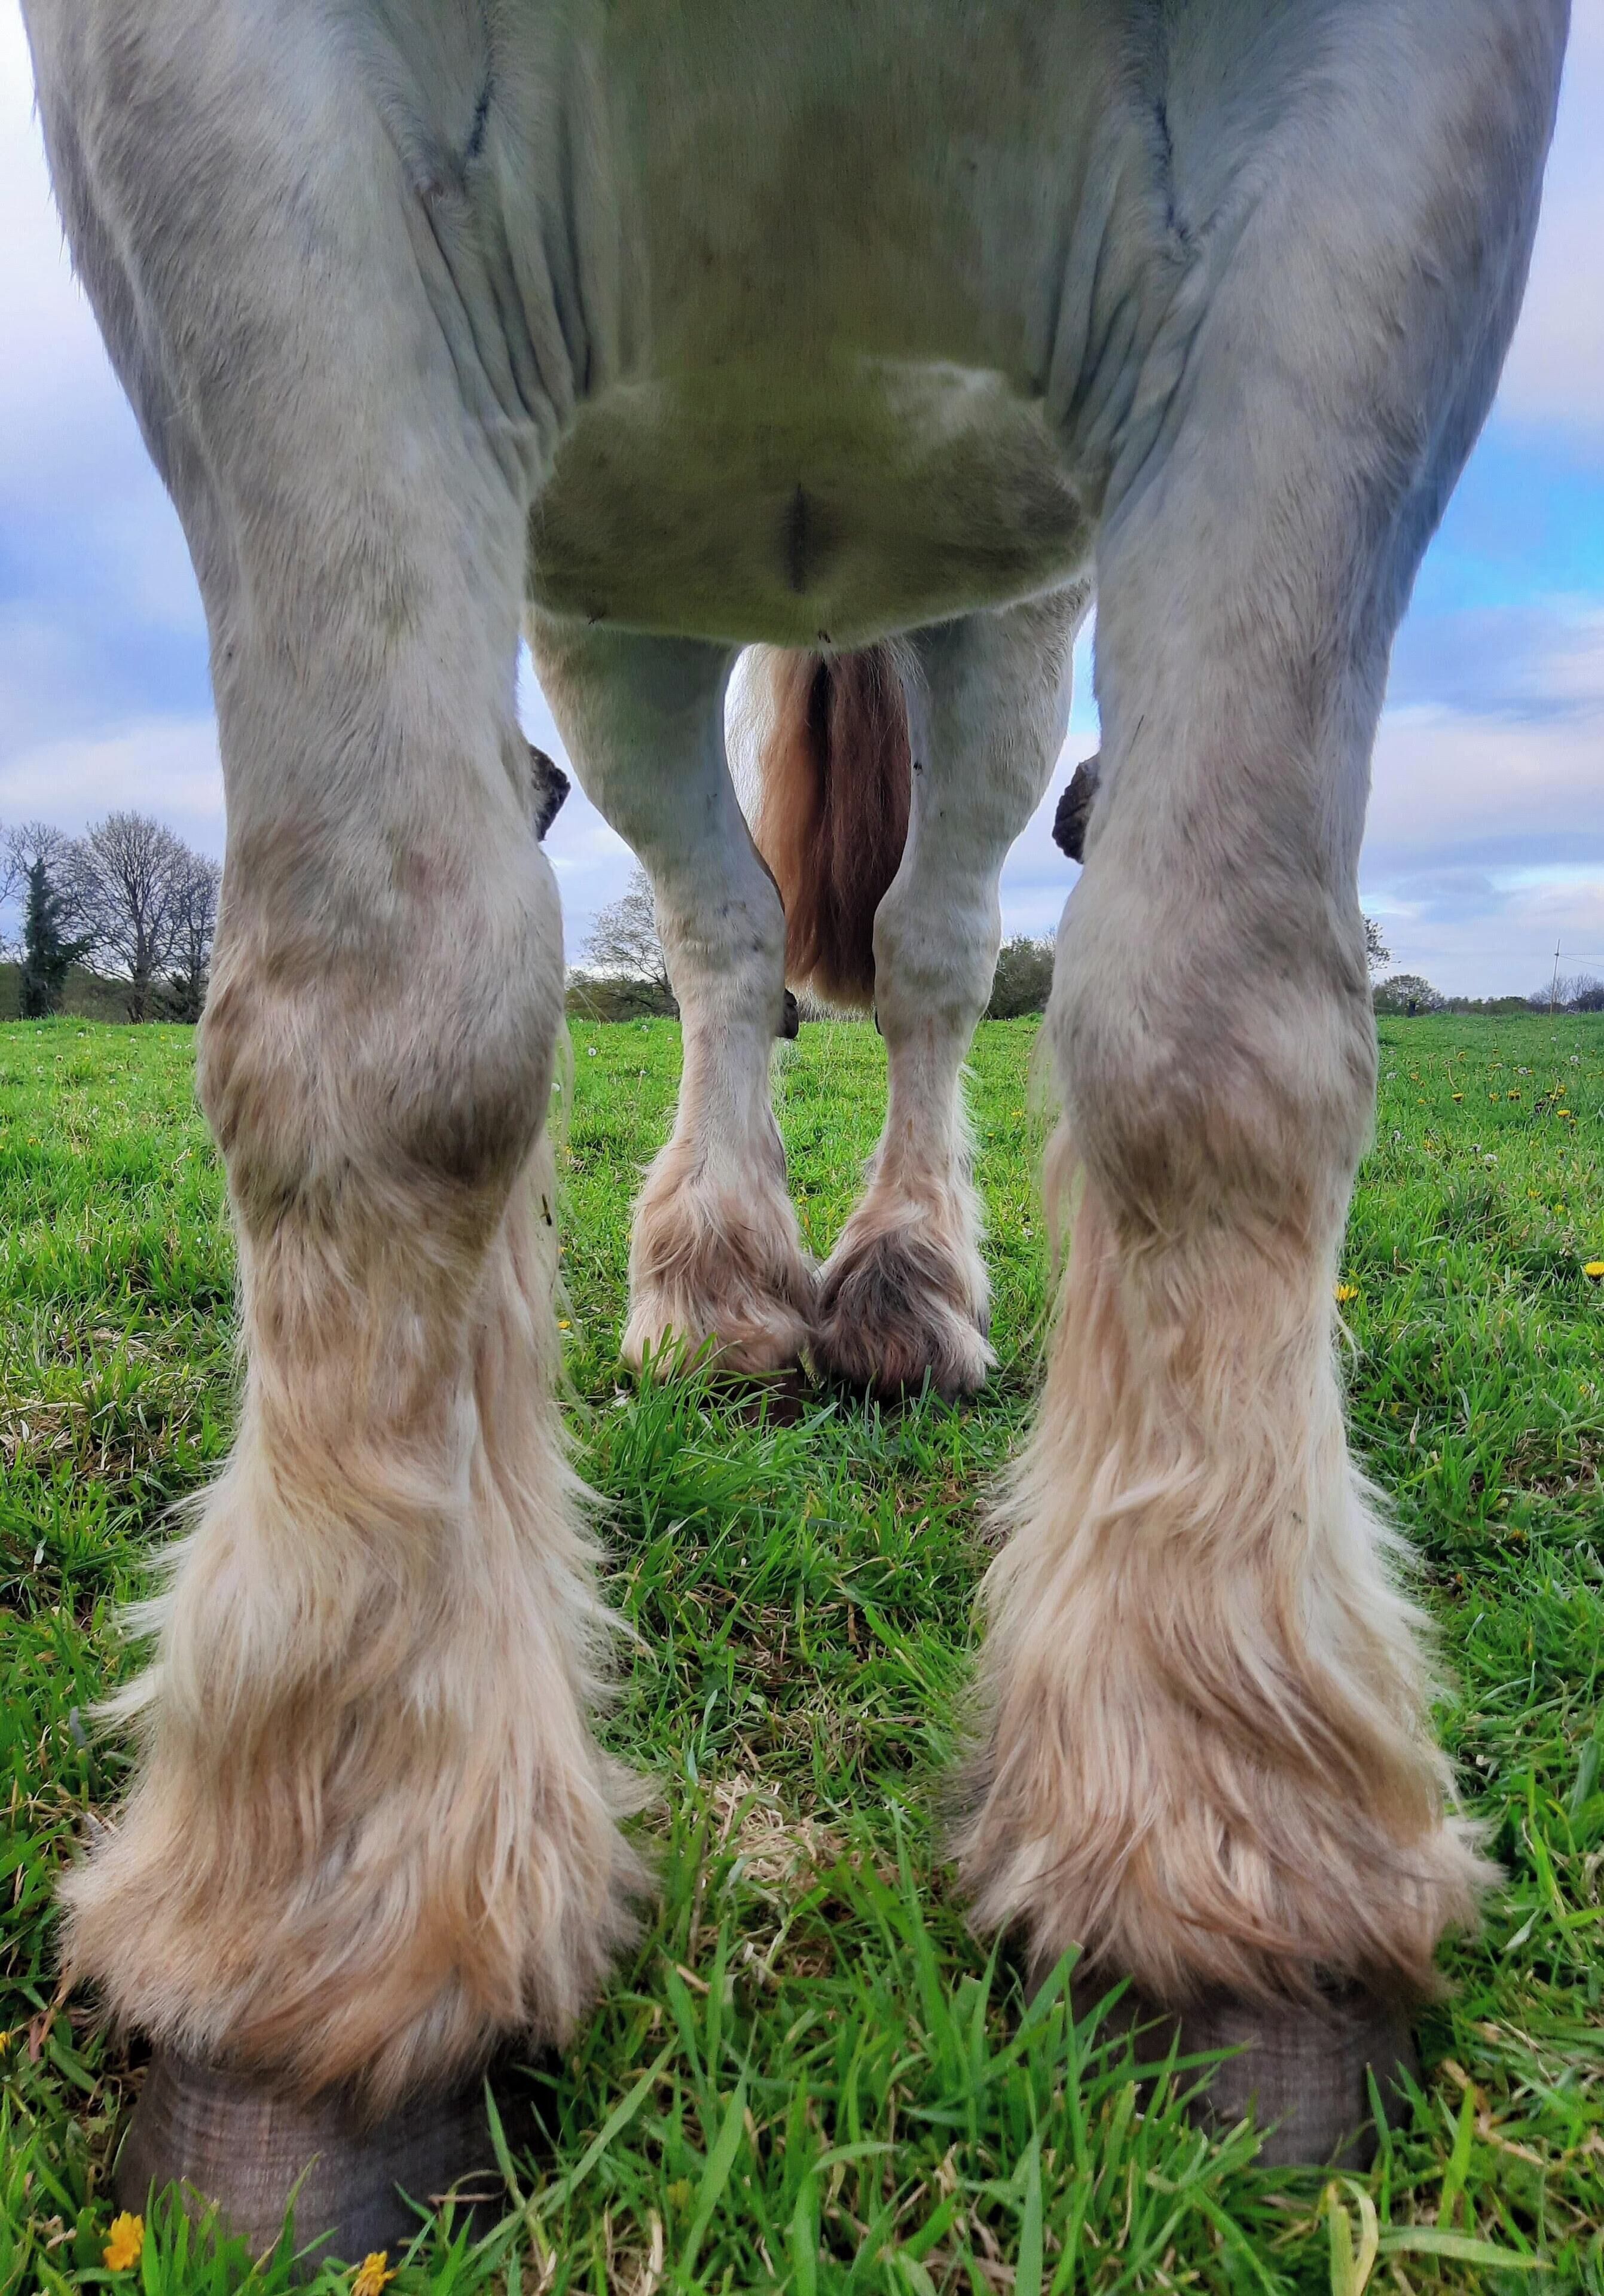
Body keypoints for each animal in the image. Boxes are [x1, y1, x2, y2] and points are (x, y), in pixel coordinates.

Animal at [21, 0, 1567, 2253]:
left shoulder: (1386, 145)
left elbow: (1217, 1021)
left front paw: (1233, 1832)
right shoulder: (223, 127)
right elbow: (385, 1019)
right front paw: (331, 1907)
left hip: (997, 610)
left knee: (932, 949)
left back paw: (899, 1283)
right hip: (616, 604)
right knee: (722, 932)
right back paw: (725, 1284)